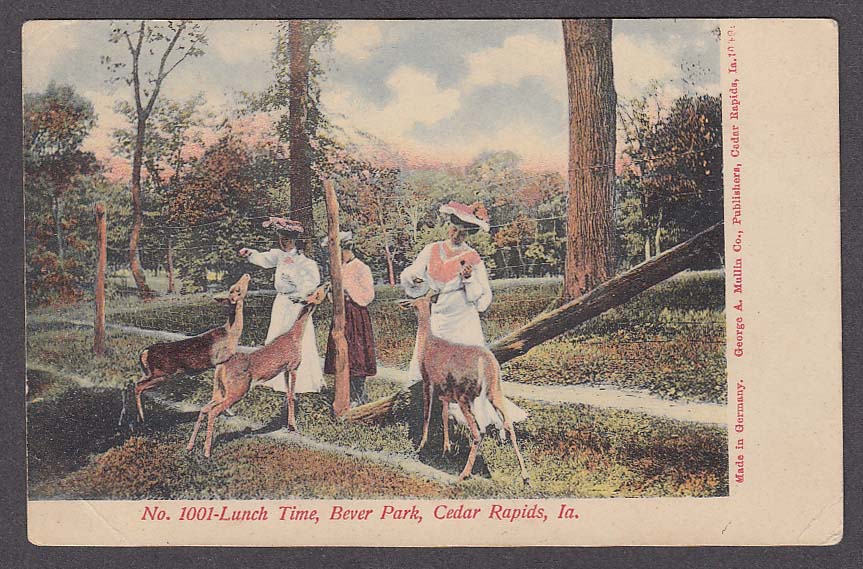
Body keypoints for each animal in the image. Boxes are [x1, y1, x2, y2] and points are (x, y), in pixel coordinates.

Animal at [124, 272, 253, 424]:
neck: (231, 334)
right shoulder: (220, 361)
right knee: (138, 386)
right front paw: (229, 411)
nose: (246, 275)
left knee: (133, 383)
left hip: (150, 373)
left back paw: (132, 417)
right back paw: (142, 418)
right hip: (162, 374)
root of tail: (145, 352)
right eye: (236, 289)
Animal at [186, 282, 328, 458]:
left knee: (204, 408)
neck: (295, 337)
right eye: (315, 292)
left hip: (220, 390)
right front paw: (294, 427)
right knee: (213, 411)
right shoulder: (294, 365)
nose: (326, 284)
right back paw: (206, 451)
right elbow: (291, 396)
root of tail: (221, 368)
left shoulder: (285, 369)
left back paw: (190, 446)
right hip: (237, 390)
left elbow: (288, 395)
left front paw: (290, 425)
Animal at [400, 292, 532, 484]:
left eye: (414, 305)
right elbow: (444, 414)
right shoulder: (445, 392)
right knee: (508, 424)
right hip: (495, 390)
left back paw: (464, 474)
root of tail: (486, 362)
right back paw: (525, 475)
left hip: (465, 395)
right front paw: (446, 448)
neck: (427, 343)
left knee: (478, 431)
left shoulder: (427, 380)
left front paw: (421, 445)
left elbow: (426, 413)